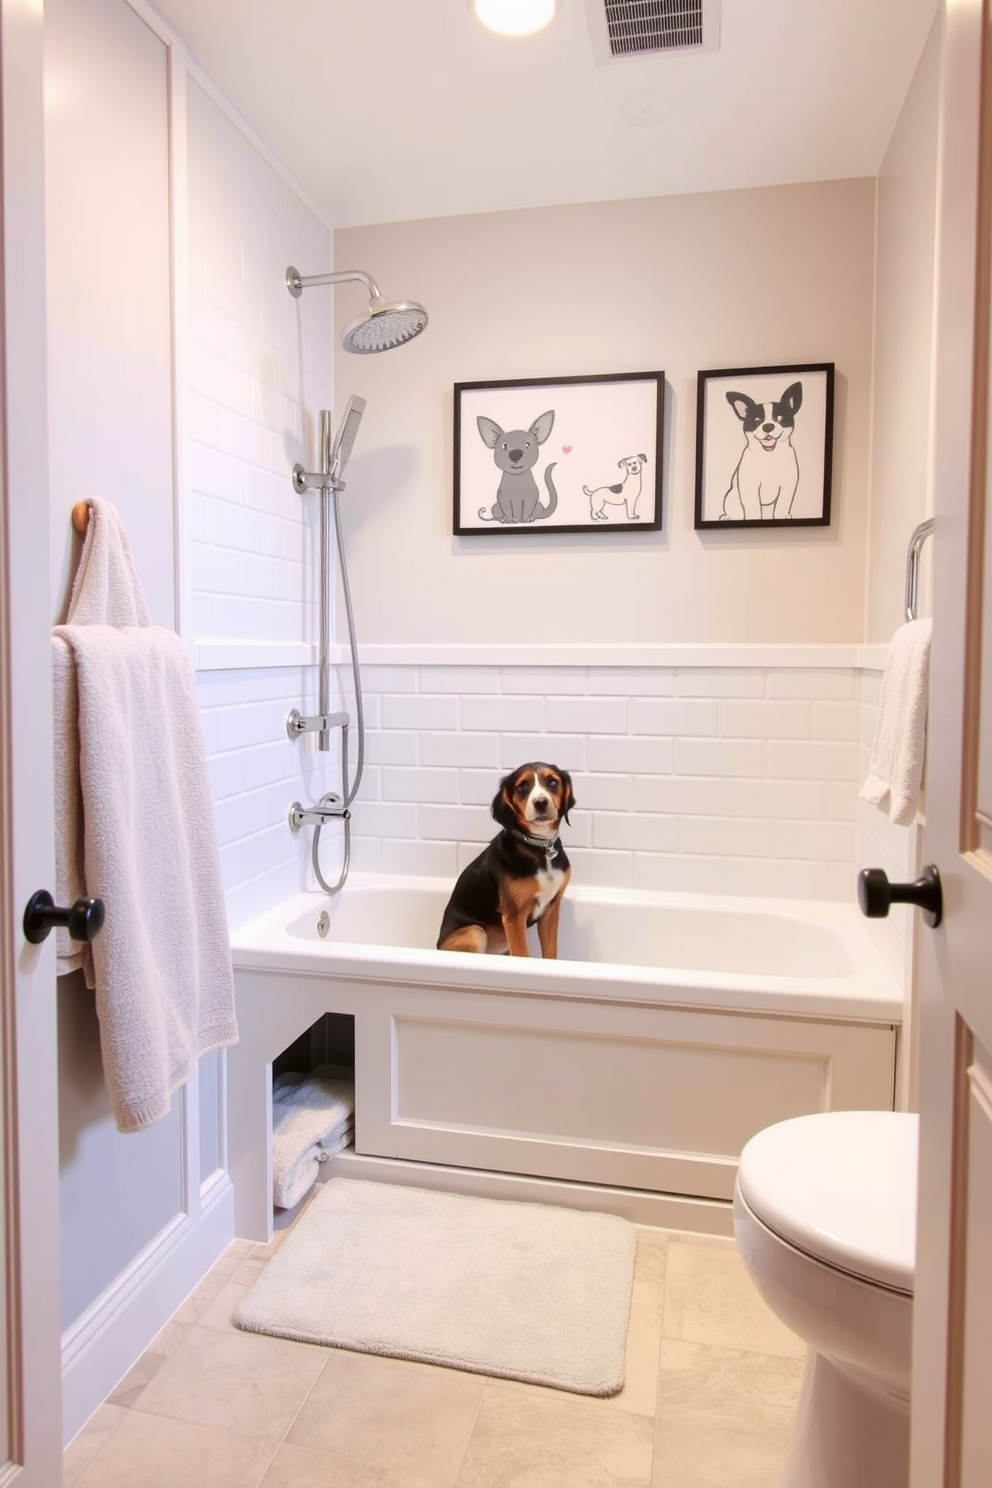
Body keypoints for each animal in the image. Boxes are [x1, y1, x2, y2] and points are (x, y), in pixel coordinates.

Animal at [437, 761, 574, 958]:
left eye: (553, 782)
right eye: (523, 786)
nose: (541, 802)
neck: (540, 849)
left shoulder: (551, 910)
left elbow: (550, 954)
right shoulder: (514, 916)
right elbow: (523, 954)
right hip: (474, 933)